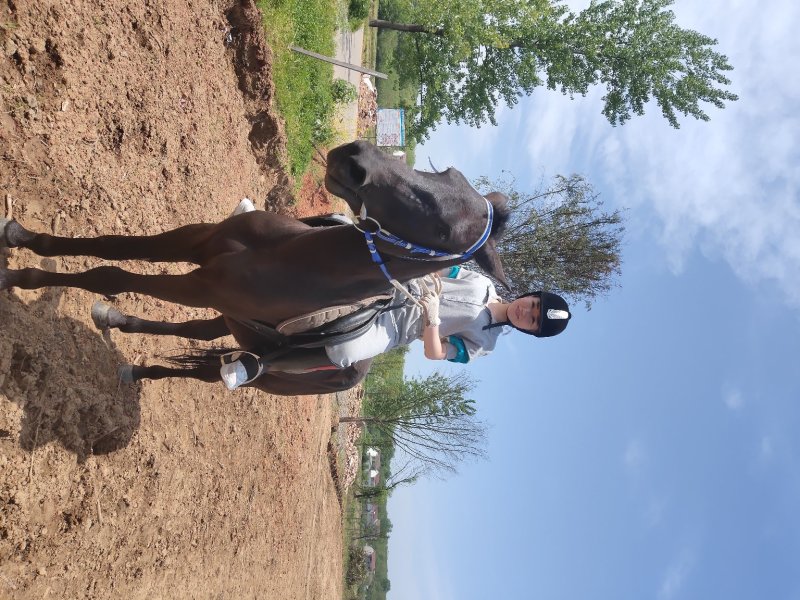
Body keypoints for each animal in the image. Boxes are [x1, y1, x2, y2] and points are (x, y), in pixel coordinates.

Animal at [1, 141, 510, 395]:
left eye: (445, 233)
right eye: (444, 172)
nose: (356, 158)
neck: (292, 256)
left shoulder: (202, 284)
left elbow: (109, 275)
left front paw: (19, 277)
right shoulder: (199, 241)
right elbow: (116, 246)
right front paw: (22, 237)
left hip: (263, 364)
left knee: (210, 368)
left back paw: (141, 372)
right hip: (233, 318)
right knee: (197, 333)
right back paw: (118, 321)